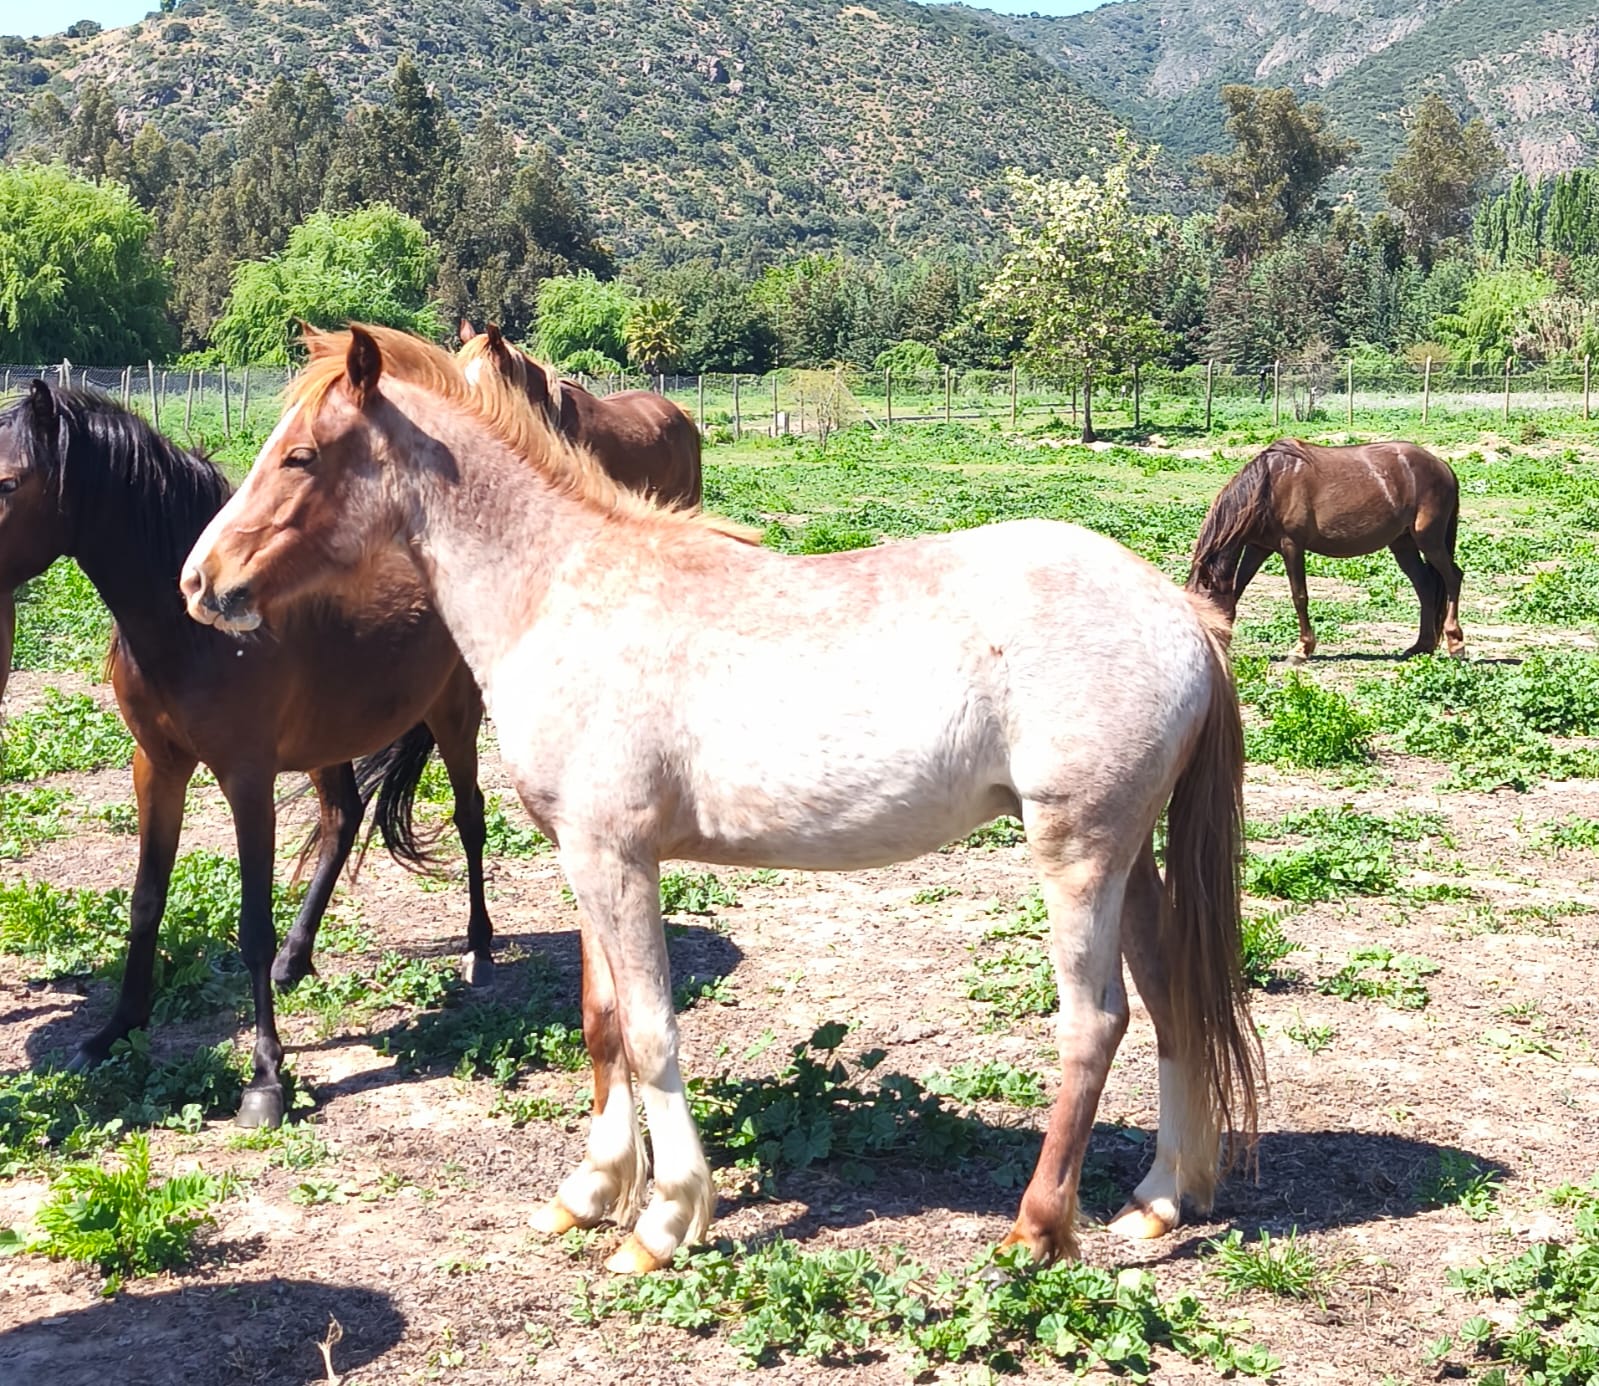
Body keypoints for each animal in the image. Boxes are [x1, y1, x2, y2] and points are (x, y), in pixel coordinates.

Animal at [1186, 438, 1465, 662]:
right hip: (1403, 545)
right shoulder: (1258, 547)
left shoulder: (1292, 546)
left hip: (1429, 540)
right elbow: (1237, 592)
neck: (1270, 485)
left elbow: (1299, 596)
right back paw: (1422, 646)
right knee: (1425, 586)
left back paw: (1455, 644)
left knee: (1453, 578)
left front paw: (1302, 649)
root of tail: (1442, 465)